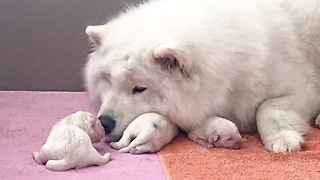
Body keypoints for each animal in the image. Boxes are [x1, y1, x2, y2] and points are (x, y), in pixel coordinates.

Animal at [84, 0, 320, 152]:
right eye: (108, 81)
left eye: (140, 88)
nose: (105, 122)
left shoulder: (302, 89)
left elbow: (267, 108)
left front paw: (282, 139)